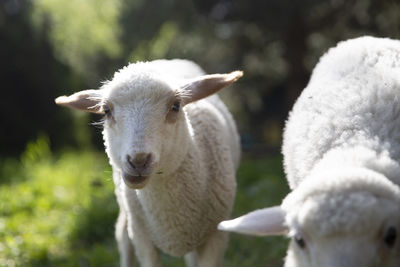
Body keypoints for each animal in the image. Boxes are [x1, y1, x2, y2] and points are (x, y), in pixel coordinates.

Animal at [54, 59, 242, 266]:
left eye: (176, 106)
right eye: (106, 110)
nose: (138, 160)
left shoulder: (217, 235)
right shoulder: (142, 237)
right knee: (123, 238)